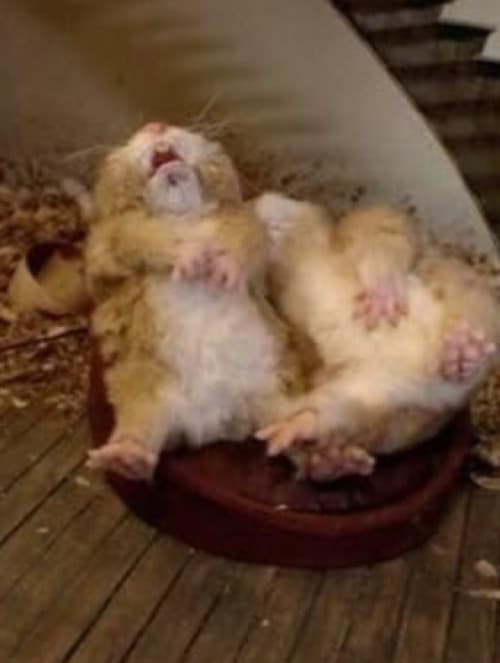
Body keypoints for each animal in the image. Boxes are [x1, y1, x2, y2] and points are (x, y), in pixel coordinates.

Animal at [85, 124, 301, 481]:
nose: (155, 126)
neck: (182, 213)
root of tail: (211, 424)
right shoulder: (121, 234)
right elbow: (151, 238)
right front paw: (194, 261)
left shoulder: (242, 223)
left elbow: (243, 243)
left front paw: (221, 272)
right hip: (144, 392)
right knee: (139, 437)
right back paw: (121, 458)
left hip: (271, 390)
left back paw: (329, 453)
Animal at [253, 193, 500, 481]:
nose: (260, 202)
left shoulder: (377, 225)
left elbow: (382, 248)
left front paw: (379, 304)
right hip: (355, 400)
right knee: (322, 419)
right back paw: (300, 442)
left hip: (473, 312)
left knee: (467, 358)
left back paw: (462, 353)